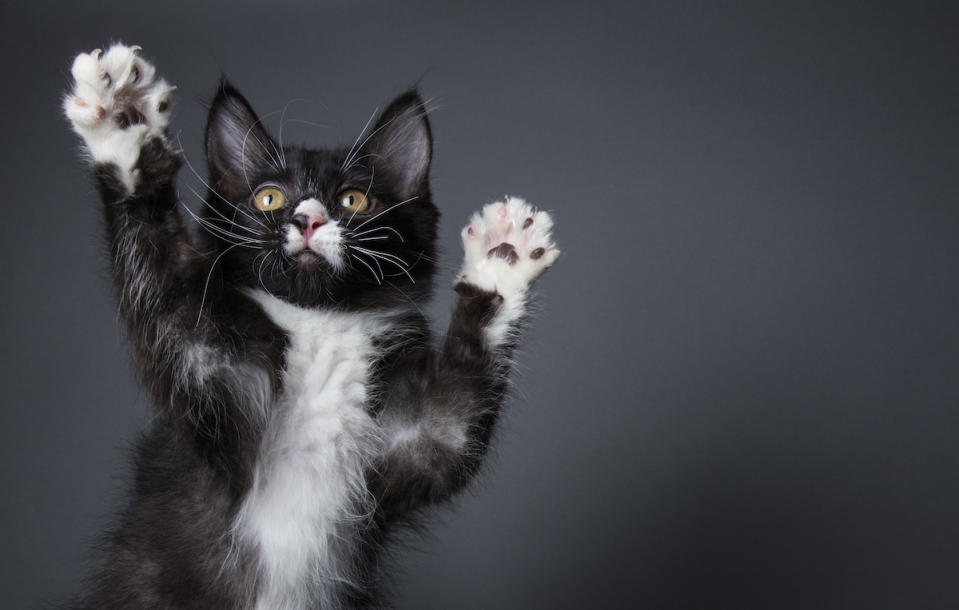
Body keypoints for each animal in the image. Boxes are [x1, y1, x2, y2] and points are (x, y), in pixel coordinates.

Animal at [63, 44, 560, 608]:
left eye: (352, 200)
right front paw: (124, 124)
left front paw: (503, 258)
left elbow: (456, 413)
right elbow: (162, 280)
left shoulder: (415, 444)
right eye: (269, 198)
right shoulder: (204, 374)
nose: (308, 219)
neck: (319, 323)